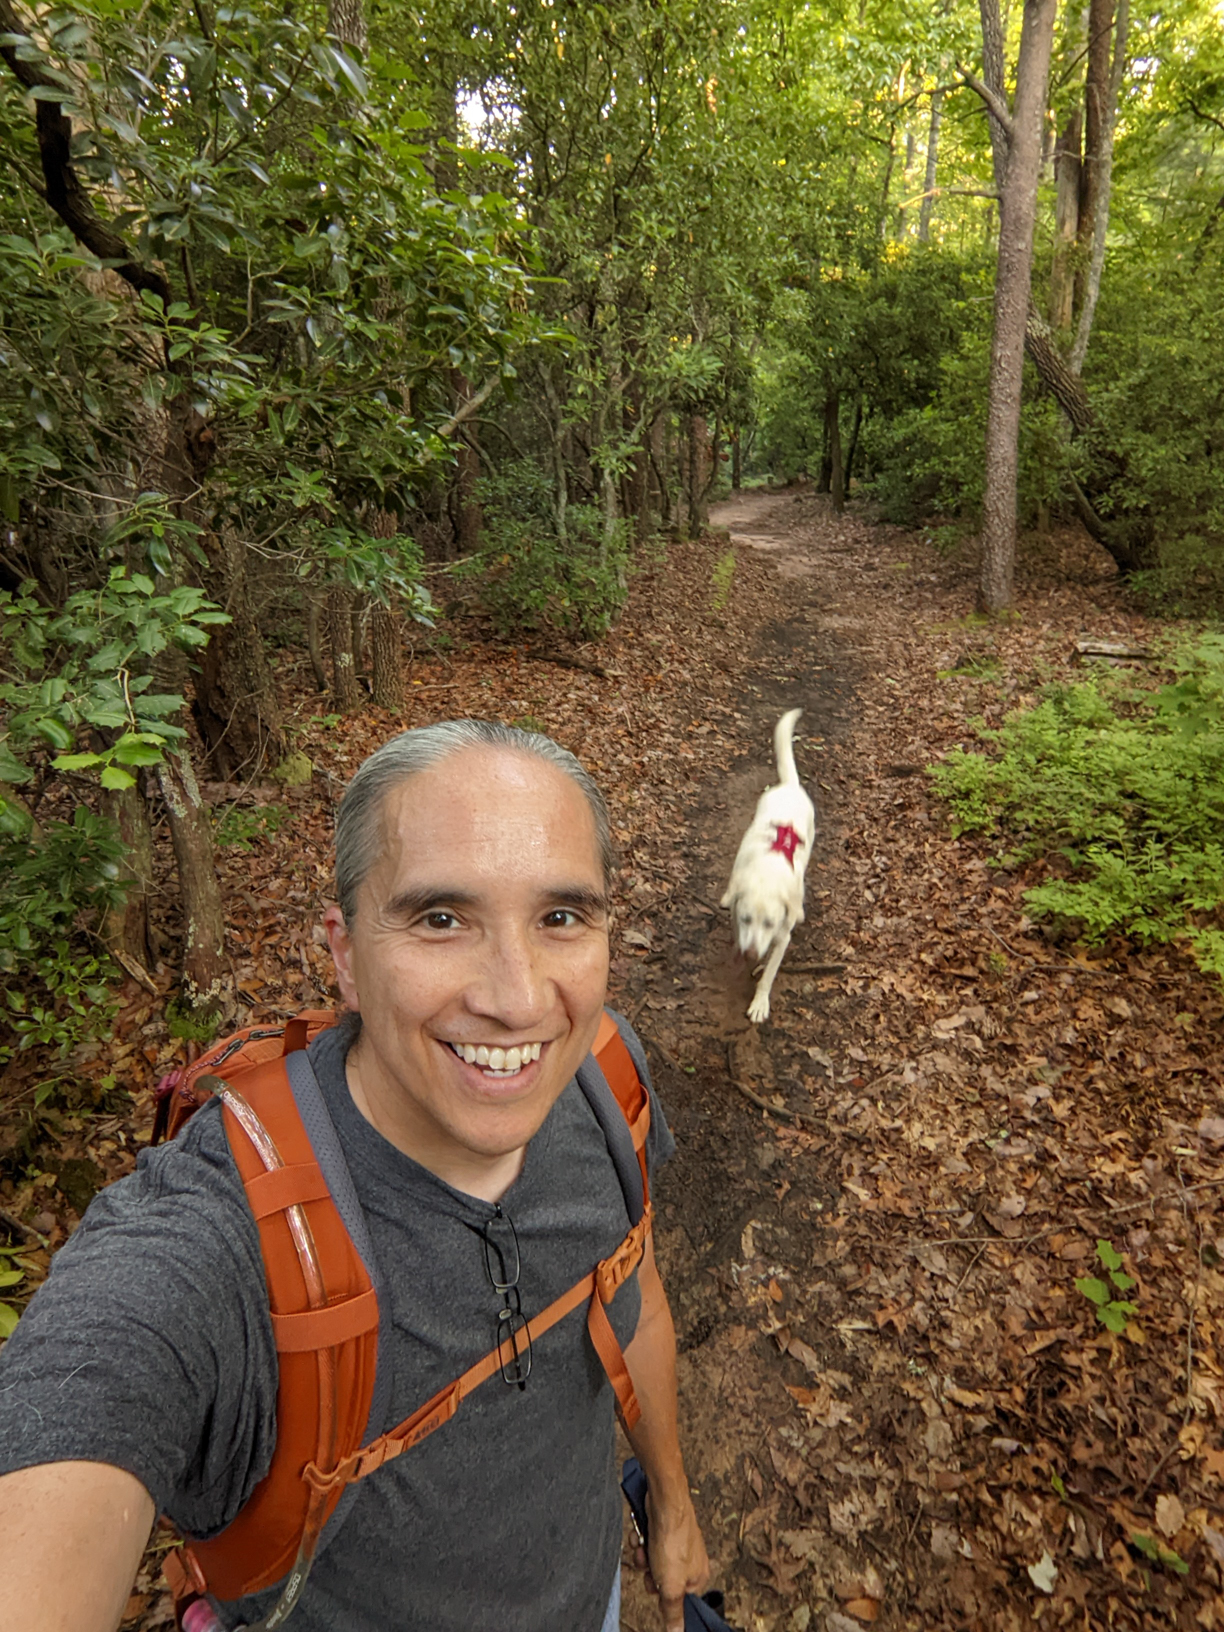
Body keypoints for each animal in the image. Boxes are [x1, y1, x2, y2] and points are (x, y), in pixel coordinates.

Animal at [724, 711, 819, 1018]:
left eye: (769, 923)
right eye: (746, 919)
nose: (751, 954)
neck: (768, 871)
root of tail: (790, 786)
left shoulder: (782, 937)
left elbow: (769, 974)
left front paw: (759, 1002)